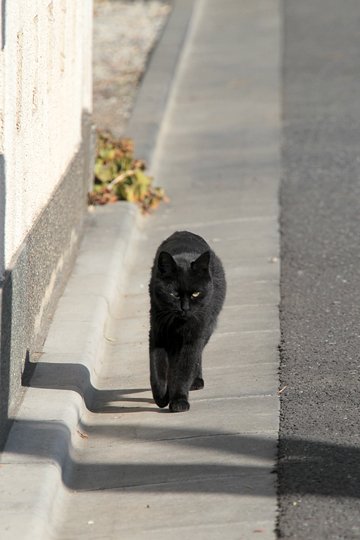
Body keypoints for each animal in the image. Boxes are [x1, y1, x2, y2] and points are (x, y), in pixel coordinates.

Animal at [148, 230, 225, 412]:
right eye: (174, 294)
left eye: (196, 294)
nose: (185, 308)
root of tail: (183, 232)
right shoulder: (157, 334)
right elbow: (157, 367)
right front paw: (162, 396)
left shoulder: (194, 336)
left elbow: (185, 369)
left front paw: (179, 400)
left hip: (207, 327)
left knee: (197, 357)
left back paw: (196, 381)